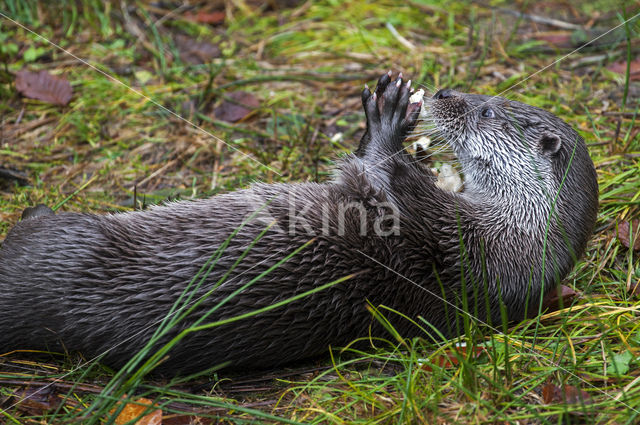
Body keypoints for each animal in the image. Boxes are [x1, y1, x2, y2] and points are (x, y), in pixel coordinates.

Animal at [0, 73, 596, 374]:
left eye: (489, 112)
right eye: (487, 96)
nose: (448, 94)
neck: (506, 237)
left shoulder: (437, 232)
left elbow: (374, 173)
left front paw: (388, 120)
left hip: (66, 239)